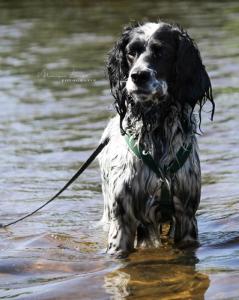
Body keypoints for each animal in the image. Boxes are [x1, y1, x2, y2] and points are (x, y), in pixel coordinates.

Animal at [98, 21, 214, 256]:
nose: (138, 76)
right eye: (131, 52)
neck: (156, 130)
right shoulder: (121, 221)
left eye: (161, 53)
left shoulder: (186, 217)